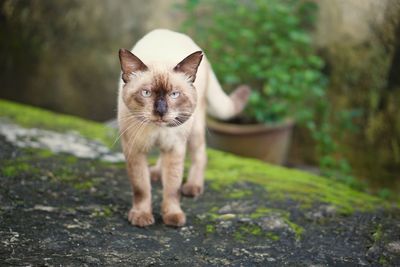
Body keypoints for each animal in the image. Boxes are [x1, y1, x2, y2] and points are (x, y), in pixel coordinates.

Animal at [117, 29, 250, 228]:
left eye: (174, 94)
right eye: (146, 93)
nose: (161, 111)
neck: (157, 130)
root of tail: (173, 33)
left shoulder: (175, 148)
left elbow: (172, 188)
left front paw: (172, 217)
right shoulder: (135, 150)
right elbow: (141, 188)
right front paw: (141, 216)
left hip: (194, 131)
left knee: (200, 156)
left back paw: (192, 187)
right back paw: (156, 173)